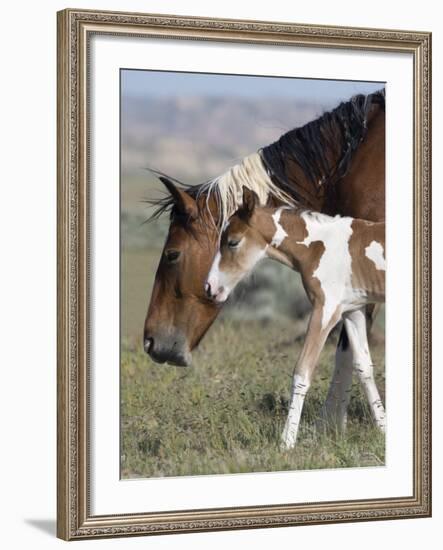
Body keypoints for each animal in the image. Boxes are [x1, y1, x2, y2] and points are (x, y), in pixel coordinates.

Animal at [206, 191, 386, 452]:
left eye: (233, 242)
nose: (210, 288)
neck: (320, 247)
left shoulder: (325, 310)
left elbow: (302, 372)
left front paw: (286, 442)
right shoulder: (353, 311)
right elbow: (364, 368)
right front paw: (384, 430)